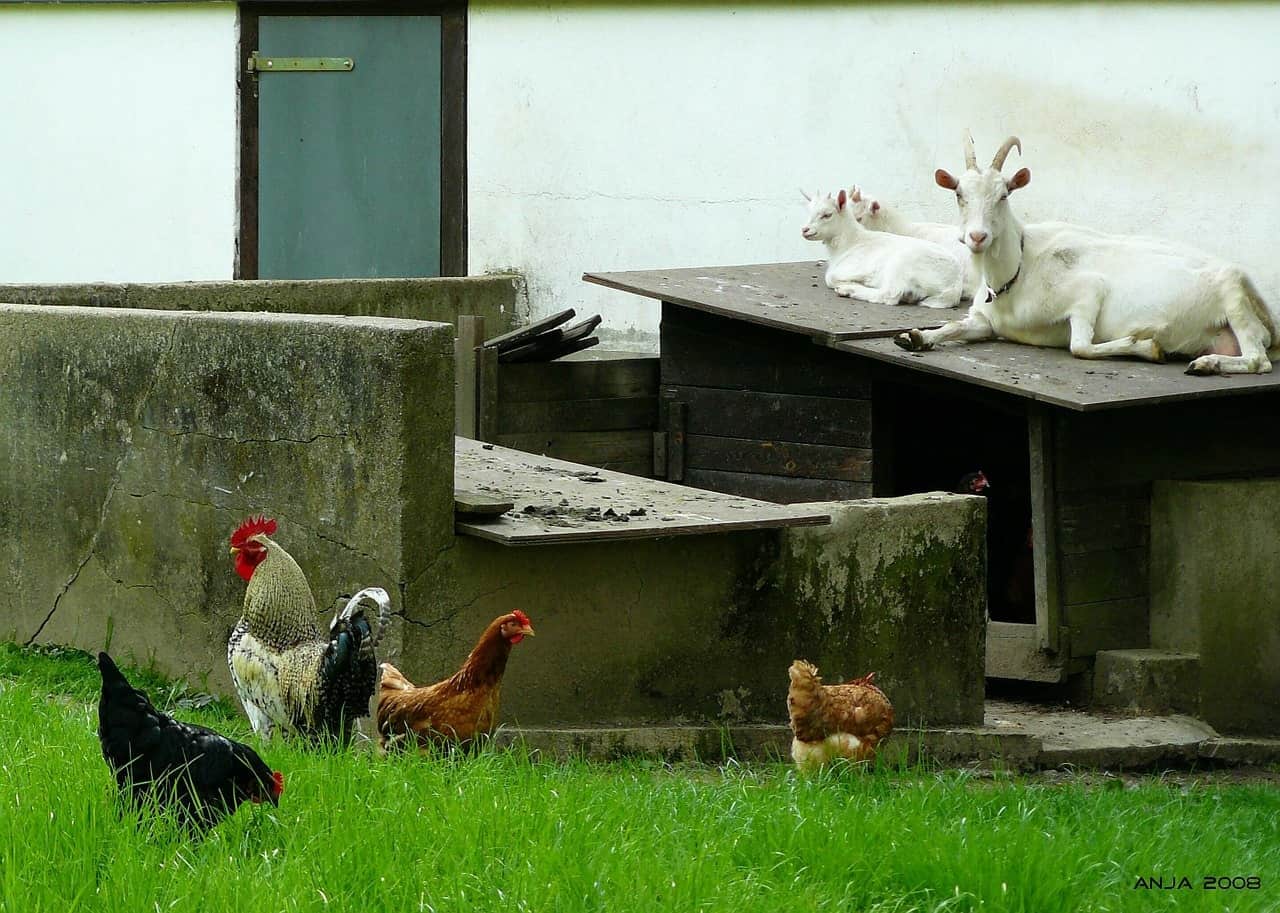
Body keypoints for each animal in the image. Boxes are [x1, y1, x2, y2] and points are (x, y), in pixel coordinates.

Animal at [801, 188, 963, 310]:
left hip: (900, 265)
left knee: (889, 295)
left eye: (827, 215)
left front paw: (853, 283)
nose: (805, 230)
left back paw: (849, 290)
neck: (851, 242)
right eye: (809, 212)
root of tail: (954, 288)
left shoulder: (856, 266)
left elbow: (830, 278)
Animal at [894, 133, 1278, 375]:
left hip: (1233, 295)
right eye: (959, 194)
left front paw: (1146, 345)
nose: (977, 237)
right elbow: (955, 325)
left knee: (1258, 360)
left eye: (1004, 194)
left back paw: (1206, 365)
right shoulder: (985, 322)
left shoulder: (1087, 291)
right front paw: (916, 337)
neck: (1018, 271)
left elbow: (1079, 346)